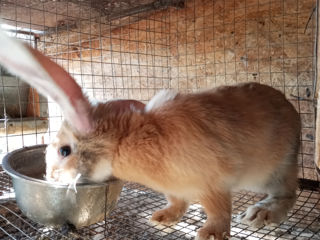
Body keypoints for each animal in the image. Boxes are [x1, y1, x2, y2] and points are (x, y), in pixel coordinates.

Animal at [0, 30, 302, 240]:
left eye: (64, 151)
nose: (50, 178)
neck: (124, 141)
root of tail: (293, 112)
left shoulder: (212, 183)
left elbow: (218, 210)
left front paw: (211, 234)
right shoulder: (175, 189)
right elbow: (178, 202)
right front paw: (162, 218)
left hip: (271, 172)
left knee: (288, 194)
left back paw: (261, 212)